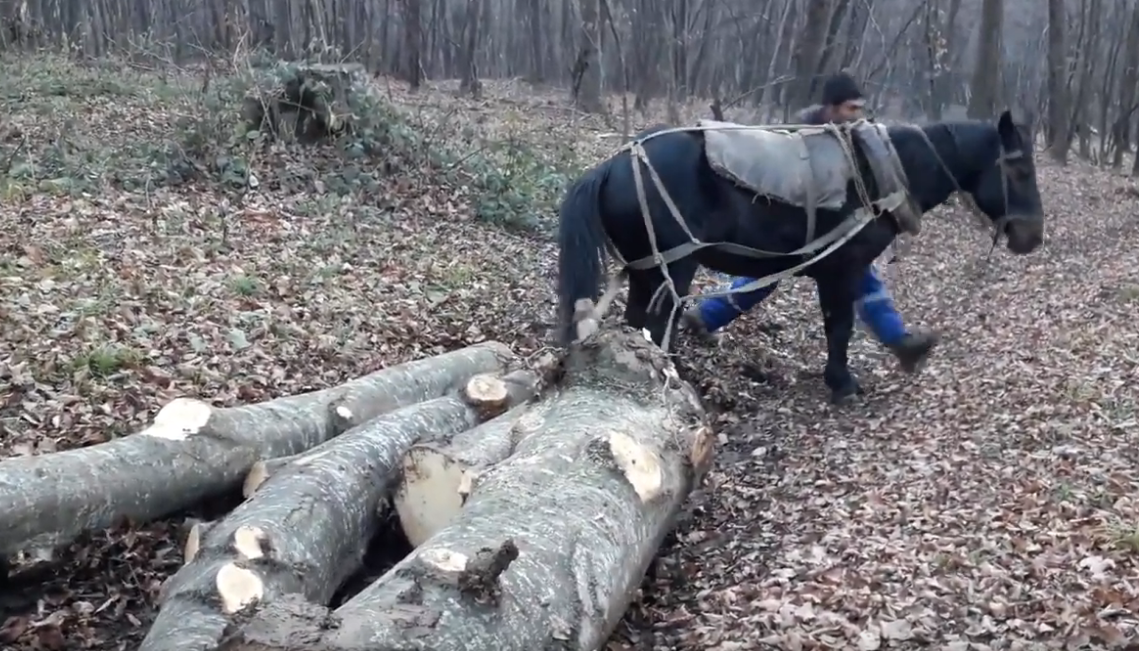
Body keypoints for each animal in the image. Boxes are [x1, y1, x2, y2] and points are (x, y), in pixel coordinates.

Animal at [555, 108, 1043, 402]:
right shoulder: (844, 267)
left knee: (637, 327)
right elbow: (840, 325)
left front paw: (908, 348)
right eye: (1019, 169)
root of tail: (613, 164)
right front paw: (842, 384)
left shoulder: (840, 266)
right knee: (656, 328)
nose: (1032, 235)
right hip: (671, 269)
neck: (879, 169)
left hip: (646, 272)